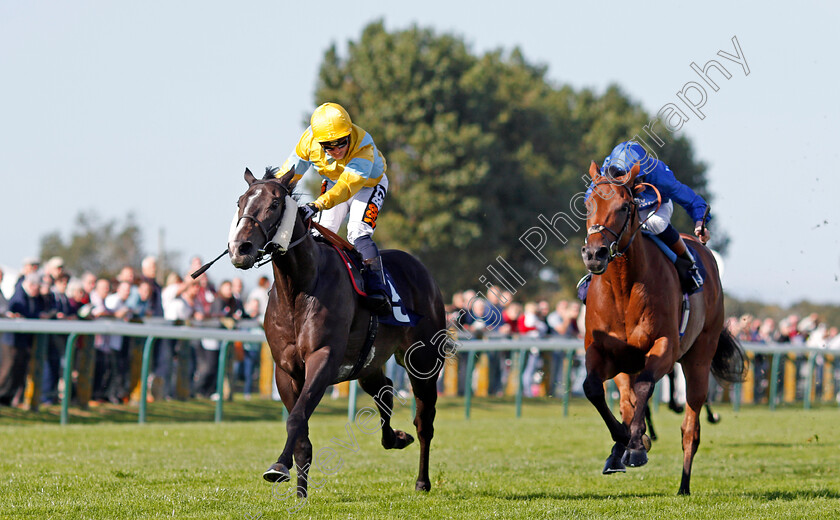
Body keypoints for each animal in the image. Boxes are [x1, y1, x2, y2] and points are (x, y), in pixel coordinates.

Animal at [226, 167, 450, 496]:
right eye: (241, 202)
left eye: (275, 204)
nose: (239, 248)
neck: (299, 288)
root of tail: (422, 270)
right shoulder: (286, 369)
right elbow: (301, 429)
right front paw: (298, 490)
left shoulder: (323, 358)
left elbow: (297, 418)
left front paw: (280, 469)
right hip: (369, 361)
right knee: (384, 391)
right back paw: (395, 438)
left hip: (423, 360)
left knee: (424, 422)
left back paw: (422, 480)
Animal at [580, 160, 744, 494]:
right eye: (589, 204)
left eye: (624, 206)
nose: (594, 254)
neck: (623, 288)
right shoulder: (603, 351)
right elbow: (594, 389)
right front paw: (625, 441)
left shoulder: (665, 347)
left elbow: (645, 387)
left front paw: (633, 446)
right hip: (627, 364)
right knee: (628, 401)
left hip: (698, 358)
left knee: (691, 427)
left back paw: (683, 485)